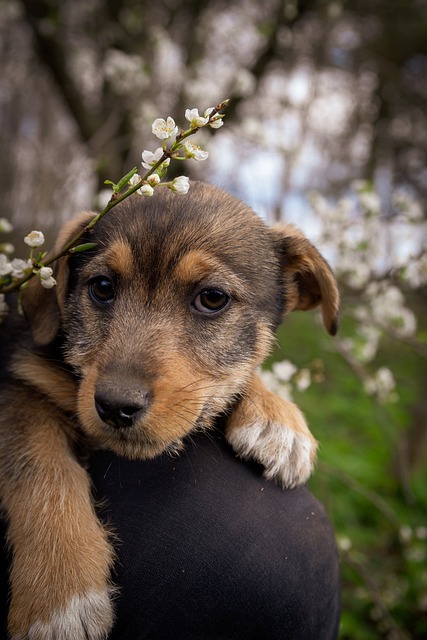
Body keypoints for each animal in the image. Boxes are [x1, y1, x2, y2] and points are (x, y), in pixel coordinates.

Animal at [0, 182, 342, 636]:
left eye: (212, 298)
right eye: (102, 287)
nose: (116, 406)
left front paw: (277, 420)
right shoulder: (17, 385)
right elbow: (42, 468)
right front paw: (59, 594)